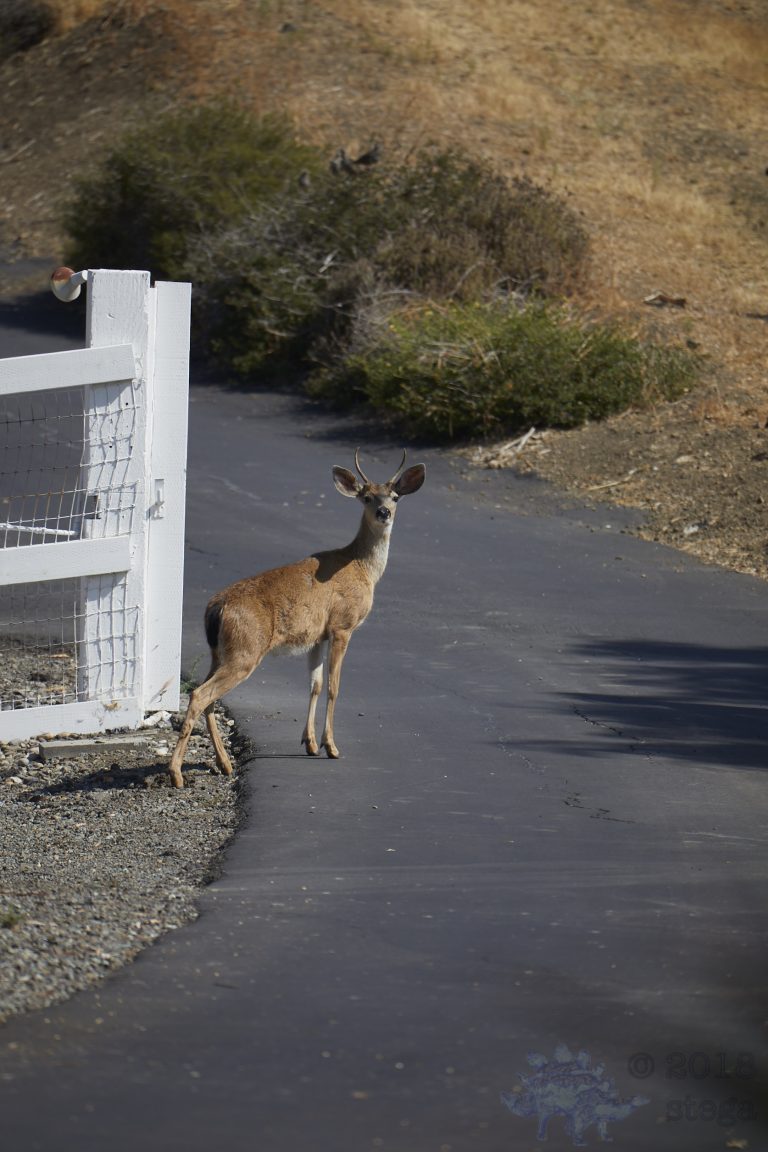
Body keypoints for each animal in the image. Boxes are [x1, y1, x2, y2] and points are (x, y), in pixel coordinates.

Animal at [167, 449, 426, 788]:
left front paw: (310, 743)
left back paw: (224, 764)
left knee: (207, 696)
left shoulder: (317, 636)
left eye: (395, 496)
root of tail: (215, 606)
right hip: (245, 650)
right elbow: (334, 686)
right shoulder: (342, 626)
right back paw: (176, 774)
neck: (362, 567)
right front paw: (331, 747)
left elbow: (315, 684)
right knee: (200, 694)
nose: (384, 512)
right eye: (367, 497)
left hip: (220, 651)